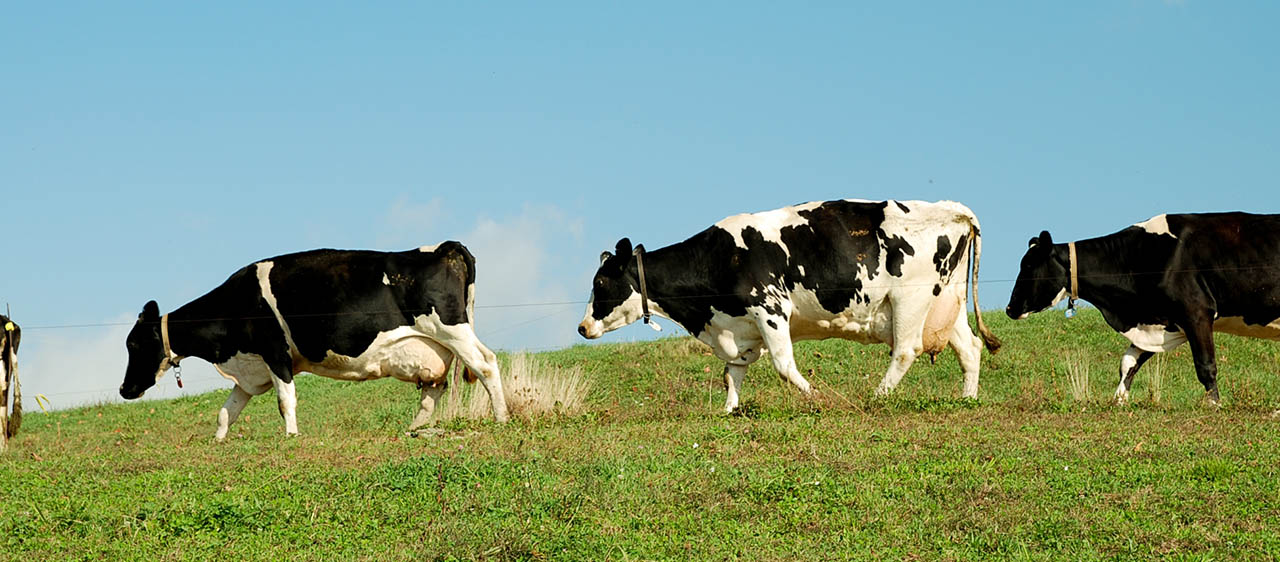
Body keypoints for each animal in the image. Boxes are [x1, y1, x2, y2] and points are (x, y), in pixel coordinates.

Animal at [120, 242, 509, 439]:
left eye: (134, 345)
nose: (125, 389)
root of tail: (443, 247)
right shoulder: (250, 368)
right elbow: (226, 410)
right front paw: (218, 441)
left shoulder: (275, 352)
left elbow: (285, 400)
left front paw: (291, 437)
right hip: (436, 346)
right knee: (434, 389)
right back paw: (414, 428)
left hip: (451, 329)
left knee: (486, 364)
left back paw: (502, 418)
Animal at [577, 199, 1001, 412]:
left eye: (600, 283)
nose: (582, 327)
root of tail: (953, 209)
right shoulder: (738, 327)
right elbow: (732, 372)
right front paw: (729, 410)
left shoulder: (770, 308)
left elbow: (783, 366)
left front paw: (816, 397)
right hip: (945, 301)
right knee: (970, 347)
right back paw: (967, 399)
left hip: (909, 298)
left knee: (905, 350)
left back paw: (877, 397)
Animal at [1006, 213, 1280, 405]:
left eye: (1029, 265)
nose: (1010, 308)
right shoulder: (1158, 321)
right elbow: (1128, 362)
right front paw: (1119, 399)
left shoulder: (1196, 311)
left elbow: (1205, 364)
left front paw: (1214, 404)